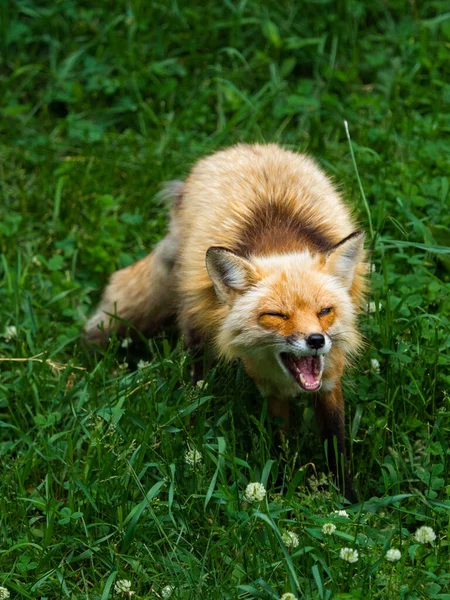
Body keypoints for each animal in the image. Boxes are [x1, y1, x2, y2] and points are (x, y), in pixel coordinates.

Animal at [85, 143, 366, 500]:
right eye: (277, 315)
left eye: (325, 311)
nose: (316, 341)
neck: (280, 241)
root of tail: (243, 147)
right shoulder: (268, 384)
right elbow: (281, 440)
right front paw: (282, 487)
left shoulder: (330, 378)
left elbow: (336, 444)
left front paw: (348, 499)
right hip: (193, 316)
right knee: (197, 372)